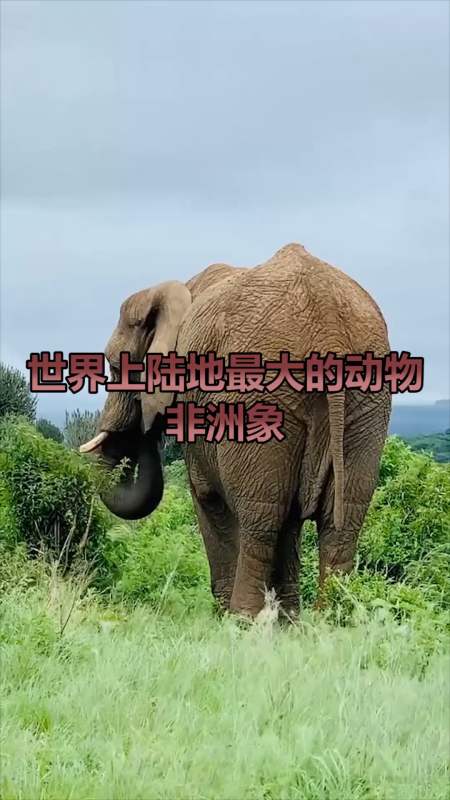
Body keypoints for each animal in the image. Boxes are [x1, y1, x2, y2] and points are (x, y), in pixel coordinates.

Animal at [81, 243, 391, 619]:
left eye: (114, 366)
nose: (144, 424)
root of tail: (328, 325)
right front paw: (287, 623)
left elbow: (207, 496)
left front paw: (230, 618)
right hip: (366, 406)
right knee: (340, 520)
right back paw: (332, 620)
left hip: (260, 396)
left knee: (261, 517)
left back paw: (244, 620)